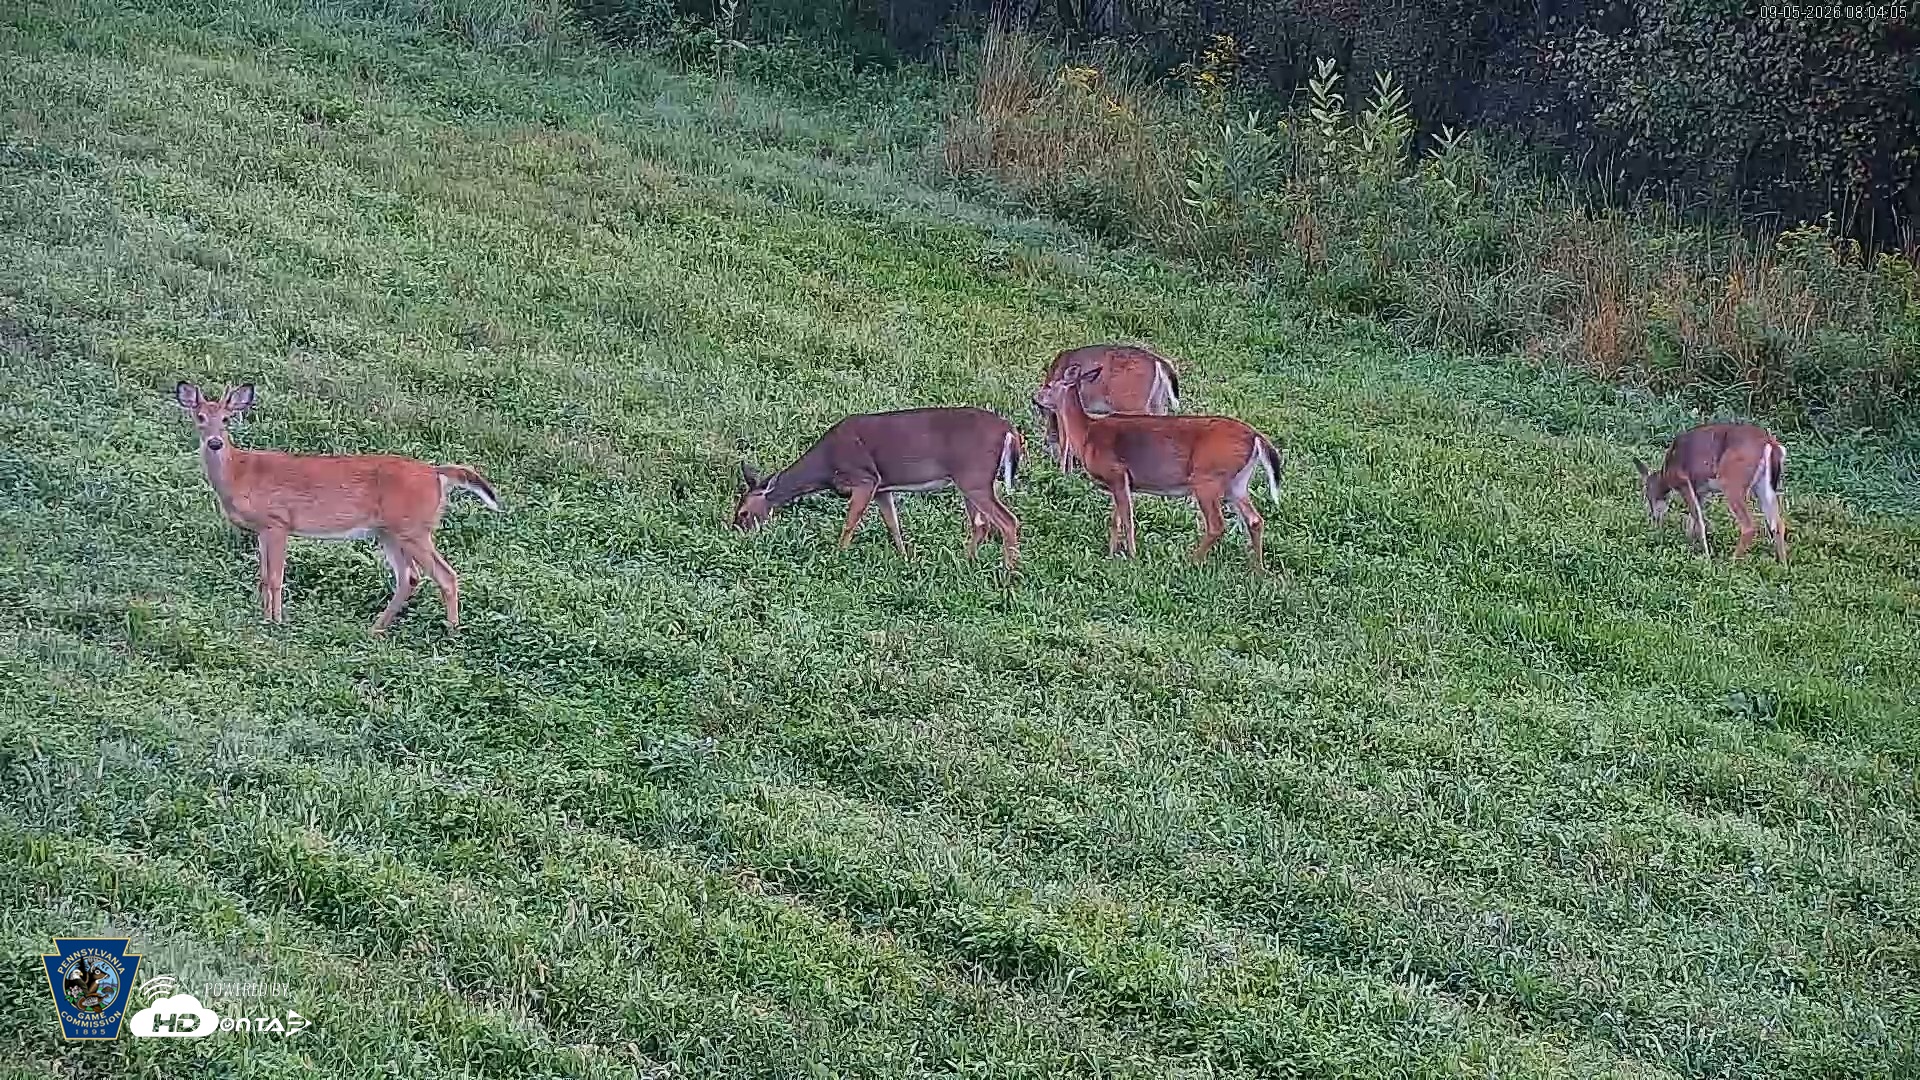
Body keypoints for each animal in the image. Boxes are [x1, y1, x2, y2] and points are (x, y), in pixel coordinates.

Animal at [174, 382, 502, 632]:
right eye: (200, 417)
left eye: (227, 419)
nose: (215, 443)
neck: (240, 473)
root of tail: (436, 473)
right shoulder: (261, 530)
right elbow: (263, 578)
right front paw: (264, 619)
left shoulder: (278, 522)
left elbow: (276, 578)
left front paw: (276, 623)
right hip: (389, 532)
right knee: (410, 577)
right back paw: (375, 629)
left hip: (414, 528)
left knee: (446, 575)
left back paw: (452, 633)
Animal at [730, 406, 1022, 568]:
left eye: (742, 512)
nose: (735, 532)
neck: (826, 466)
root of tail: (1010, 430)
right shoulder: (883, 487)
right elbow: (893, 524)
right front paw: (906, 559)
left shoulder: (865, 478)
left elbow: (851, 522)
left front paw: (838, 556)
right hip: (970, 481)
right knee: (981, 525)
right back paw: (966, 563)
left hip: (975, 477)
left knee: (1008, 521)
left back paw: (1009, 575)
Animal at [1034, 343, 1181, 473]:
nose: (1036, 397)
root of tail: (1160, 363)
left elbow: (1065, 441)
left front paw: (1065, 473)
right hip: (1157, 403)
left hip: (1132, 403)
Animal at [1034, 362, 1282, 572]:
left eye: (1049, 386)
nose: (1035, 396)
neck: (1087, 434)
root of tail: (1256, 437)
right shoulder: (1120, 482)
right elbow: (1115, 519)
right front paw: (1112, 553)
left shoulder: (1116, 472)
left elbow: (1127, 519)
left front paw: (1132, 556)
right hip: (1237, 482)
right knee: (1255, 520)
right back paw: (1258, 570)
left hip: (1208, 478)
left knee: (1216, 524)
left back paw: (1191, 560)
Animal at [1636, 422, 1787, 563]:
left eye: (1647, 494)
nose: (1654, 518)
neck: (1666, 473)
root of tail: (1769, 443)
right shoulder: (1700, 491)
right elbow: (1693, 520)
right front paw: (1689, 545)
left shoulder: (1684, 482)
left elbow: (1698, 521)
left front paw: (1706, 556)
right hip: (1763, 485)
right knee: (1778, 524)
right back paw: (1783, 564)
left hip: (1731, 480)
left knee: (1749, 526)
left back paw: (1730, 562)